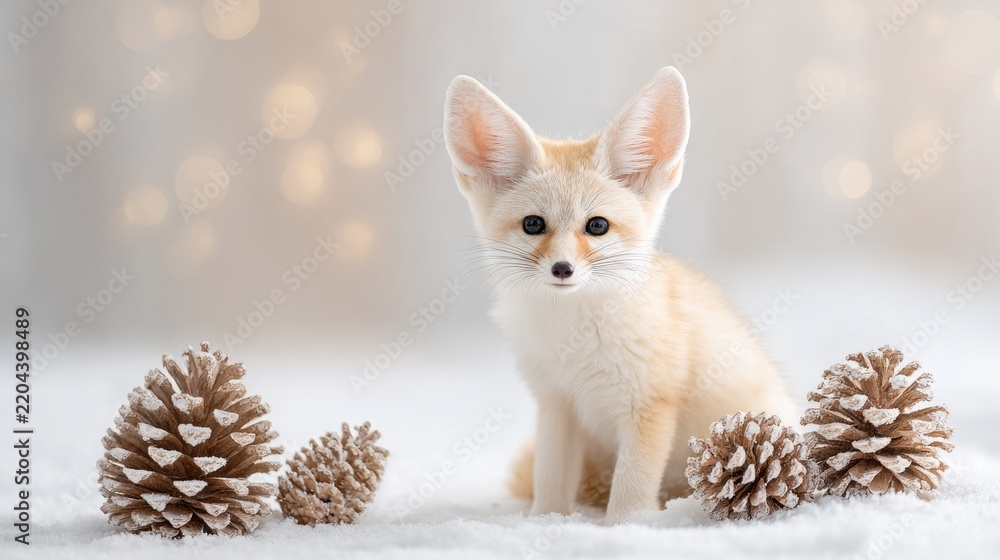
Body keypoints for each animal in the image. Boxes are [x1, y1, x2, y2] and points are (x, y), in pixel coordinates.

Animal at [443, 67, 798, 525]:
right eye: (533, 224)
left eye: (597, 226)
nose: (562, 269)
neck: (574, 342)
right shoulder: (556, 404)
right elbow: (549, 478)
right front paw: (544, 522)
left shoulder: (648, 403)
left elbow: (632, 483)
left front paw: (623, 527)